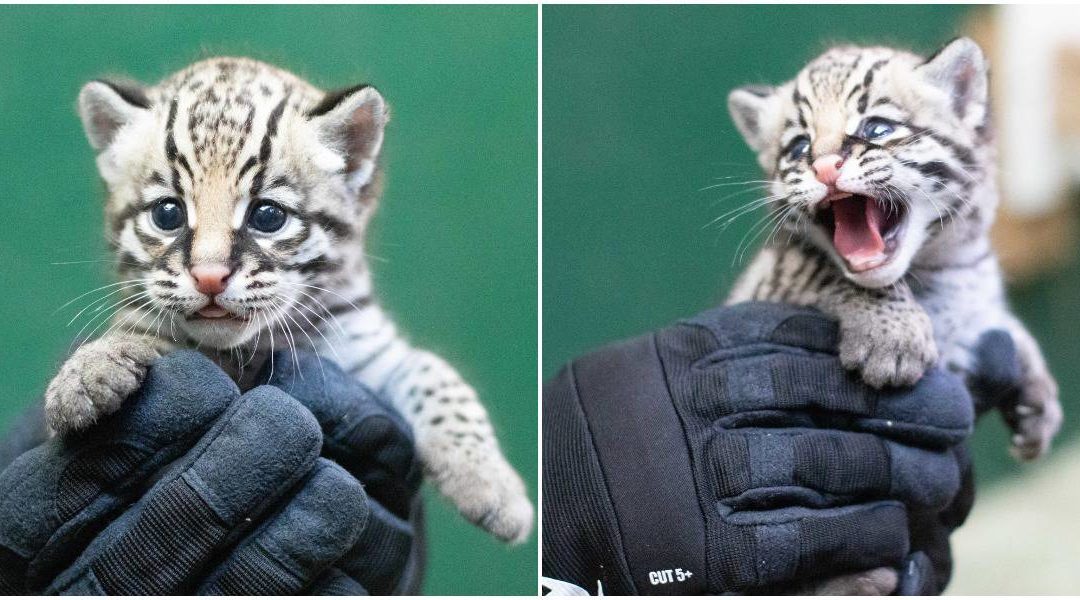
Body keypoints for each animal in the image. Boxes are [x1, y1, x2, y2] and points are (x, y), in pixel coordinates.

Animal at [47, 56, 535, 543]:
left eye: (268, 216)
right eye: (167, 213)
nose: (208, 277)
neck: (255, 345)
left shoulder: (367, 348)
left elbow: (436, 373)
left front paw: (490, 483)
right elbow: (140, 332)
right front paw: (86, 373)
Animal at [725, 39, 1062, 591]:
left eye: (877, 128)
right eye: (798, 147)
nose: (824, 168)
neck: (940, 265)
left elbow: (1004, 325)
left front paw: (1040, 398)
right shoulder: (772, 277)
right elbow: (820, 267)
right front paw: (893, 338)